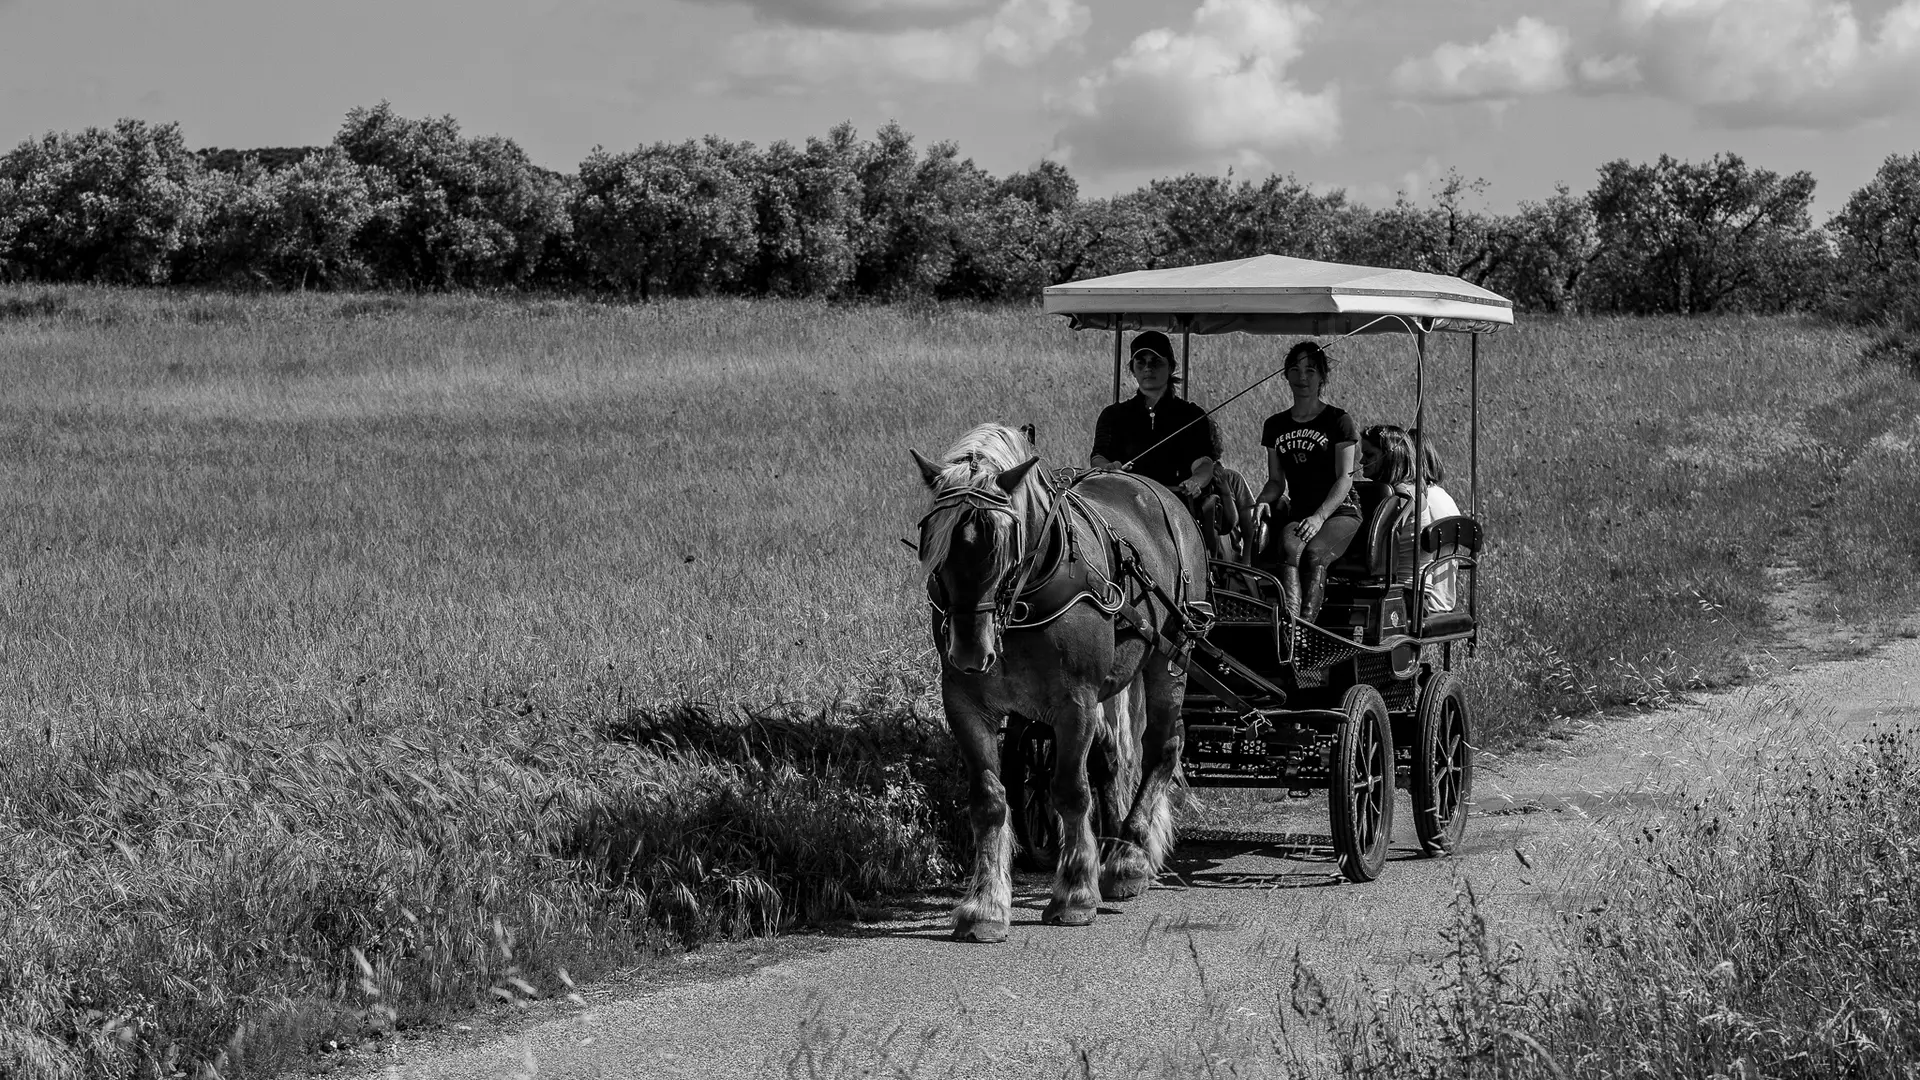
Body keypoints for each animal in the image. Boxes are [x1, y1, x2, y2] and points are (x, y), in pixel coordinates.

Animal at [906, 420, 1205, 941]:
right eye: (934, 544)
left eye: (1003, 546)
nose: (970, 652)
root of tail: (1155, 489)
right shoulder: (963, 701)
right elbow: (989, 799)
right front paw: (985, 906)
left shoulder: (1075, 702)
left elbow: (1069, 790)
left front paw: (1074, 893)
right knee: (1110, 758)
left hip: (1170, 659)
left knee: (1162, 747)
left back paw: (1127, 857)